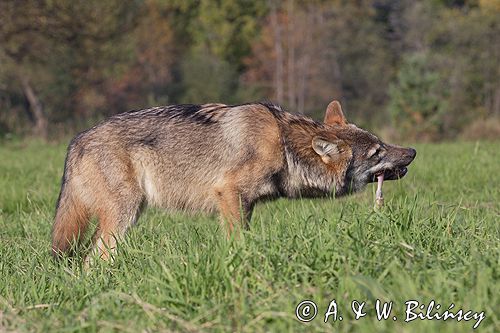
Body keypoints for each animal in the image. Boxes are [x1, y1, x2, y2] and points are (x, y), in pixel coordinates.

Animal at [52, 100, 416, 260]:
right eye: (377, 152)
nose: (413, 151)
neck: (284, 143)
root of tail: (75, 141)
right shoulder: (228, 193)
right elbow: (237, 241)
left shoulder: (246, 204)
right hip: (123, 216)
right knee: (92, 260)